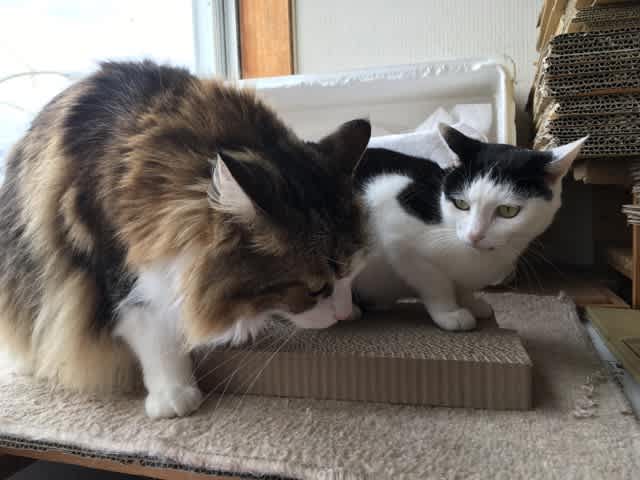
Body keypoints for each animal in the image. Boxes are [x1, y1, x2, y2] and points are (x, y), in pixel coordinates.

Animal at [0, 61, 371, 418]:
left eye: (352, 274)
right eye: (316, 289)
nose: (343, 315)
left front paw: (241, 327)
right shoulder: (116, 265)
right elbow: (153, 330)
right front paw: (173, 395)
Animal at [352, 125, 586, 331]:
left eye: (508, 210)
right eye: (461, 204)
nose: (475, 235)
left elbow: (463, 286)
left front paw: (470, 302)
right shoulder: (391, 216)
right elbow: (434, 282)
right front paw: (449, 312)